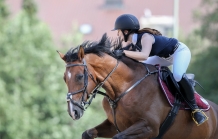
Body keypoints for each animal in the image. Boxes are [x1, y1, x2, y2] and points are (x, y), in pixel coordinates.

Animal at [57, 34, 218, 139]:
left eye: (79, 76)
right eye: (65, 78)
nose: (73, 111)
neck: (124, 88)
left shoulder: (149, 127)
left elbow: (119, 137)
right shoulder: (114, 125)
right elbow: (88, 133)